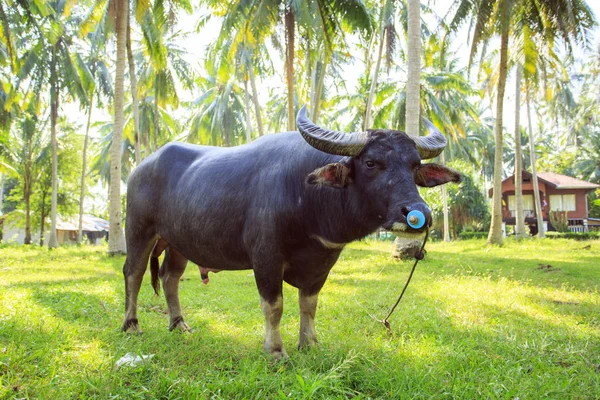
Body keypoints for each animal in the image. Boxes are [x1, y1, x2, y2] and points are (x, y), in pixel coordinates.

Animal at [122, 104, 460, 358]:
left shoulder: (321, 264)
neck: (307, 198)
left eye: (414, 166)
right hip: (139, 230)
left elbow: (309, 306)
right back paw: (132, 324)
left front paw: (309, 344)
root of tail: (139, 169)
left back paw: (179, 324)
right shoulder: (266, 259)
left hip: (179, 243)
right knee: (133, 273)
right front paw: (275, 351)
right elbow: (274, 306)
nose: (419, 213)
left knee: (170, 277)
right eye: (371, 163)